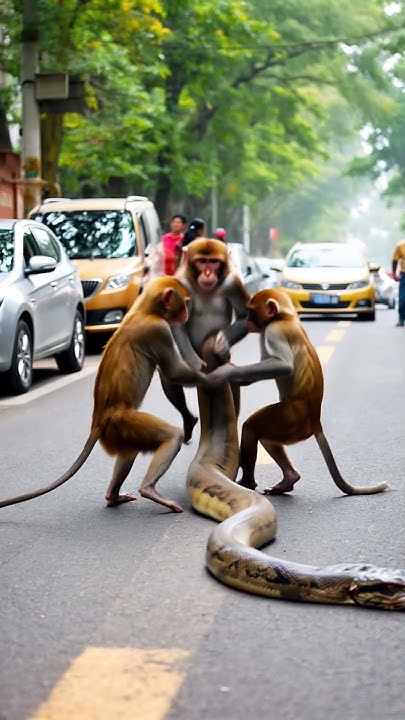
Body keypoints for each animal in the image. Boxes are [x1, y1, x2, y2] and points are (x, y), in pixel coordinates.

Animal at [0, 277, 211, 514]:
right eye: (184, 303)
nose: (186, 313)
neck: (144, 310)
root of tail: (99, 420)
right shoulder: (159, 331)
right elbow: (172, 372)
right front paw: (211, 377)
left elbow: (169, 378)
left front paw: (189, 416)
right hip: (122, 421)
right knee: (170, 436)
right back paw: (148, 489)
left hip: (117, 431)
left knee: (128, 452)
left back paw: (113, 496)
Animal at [159, 237, 251, 441]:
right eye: (202, 261)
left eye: (214, 262)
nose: (208, 273)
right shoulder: (181, 283)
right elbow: (177, 324)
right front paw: (195, 364)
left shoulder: (232, 282)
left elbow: (244, 316)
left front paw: (221, 344)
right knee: (168, 374)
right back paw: (188, 421)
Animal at [206, 288, 389, 496]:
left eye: (252, 312)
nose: (248, 321)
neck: (285, 317)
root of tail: (315, 421)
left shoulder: (272, 331)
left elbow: (283, 366)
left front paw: (226, 372)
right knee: (267, 439)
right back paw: (289, 478)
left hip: (290, 419)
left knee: (251, 427)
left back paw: (247, 482)